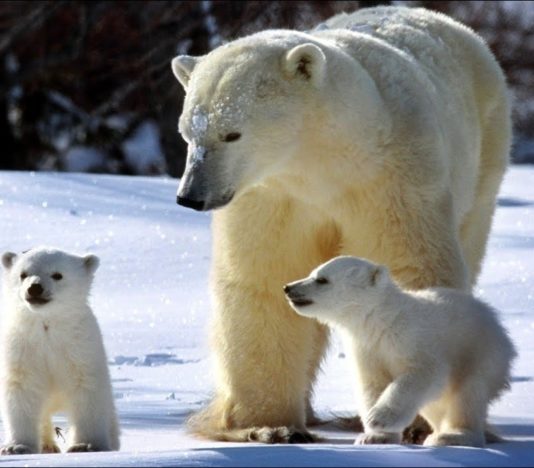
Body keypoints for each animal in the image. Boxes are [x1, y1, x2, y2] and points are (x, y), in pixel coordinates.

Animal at [0, 249, 120, 454]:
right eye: (23, 274)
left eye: (57, 275)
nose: (35, 288)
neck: (47, 325)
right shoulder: (22, 347)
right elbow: (21, 388)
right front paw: (17, 447)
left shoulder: (79, 347)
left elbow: (86, 388)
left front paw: (86, 445)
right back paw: (47, 445)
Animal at [286, 258, 516, 448]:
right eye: (312, 272)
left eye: (322, 279)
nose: (288, 288)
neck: (382, 319)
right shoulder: (367, 348)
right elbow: (372, 384)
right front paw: (374, 437)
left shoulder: (413, 337)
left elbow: (424, 373)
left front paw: (378, 418)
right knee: (436, 405)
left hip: (481, 353)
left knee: (467, 394)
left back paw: (452, 436)